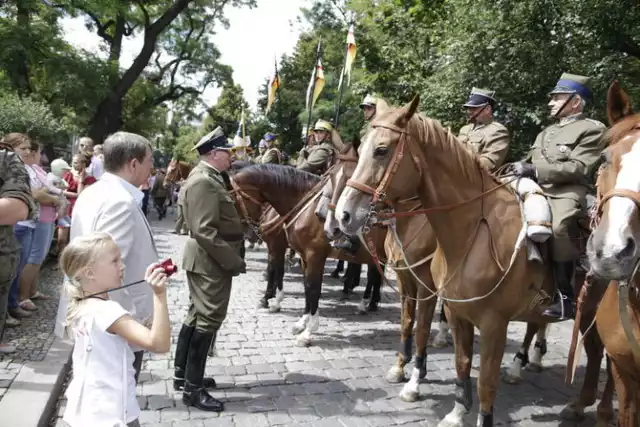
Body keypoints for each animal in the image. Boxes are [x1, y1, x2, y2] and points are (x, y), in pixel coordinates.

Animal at [336, 97, 608, 427]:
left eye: (382, 150)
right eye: (361, 148)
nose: (344, 215)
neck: (471, 233)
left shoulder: (488, 321)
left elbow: (480, 377)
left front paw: (416, 380)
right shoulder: (441, 302)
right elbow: (451, 355)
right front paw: (449, 406)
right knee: (587, 349)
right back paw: (576, 403)